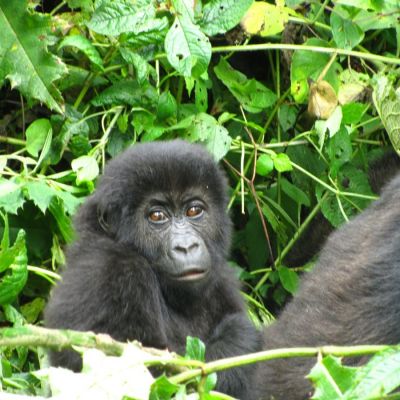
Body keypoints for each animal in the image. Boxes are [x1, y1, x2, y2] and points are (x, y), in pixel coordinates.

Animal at [44, 139, 262, 398]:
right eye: (157, 216)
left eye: (193, 211)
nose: (186, 247)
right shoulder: (112, 271)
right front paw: (239, 336)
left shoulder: (223, 280)